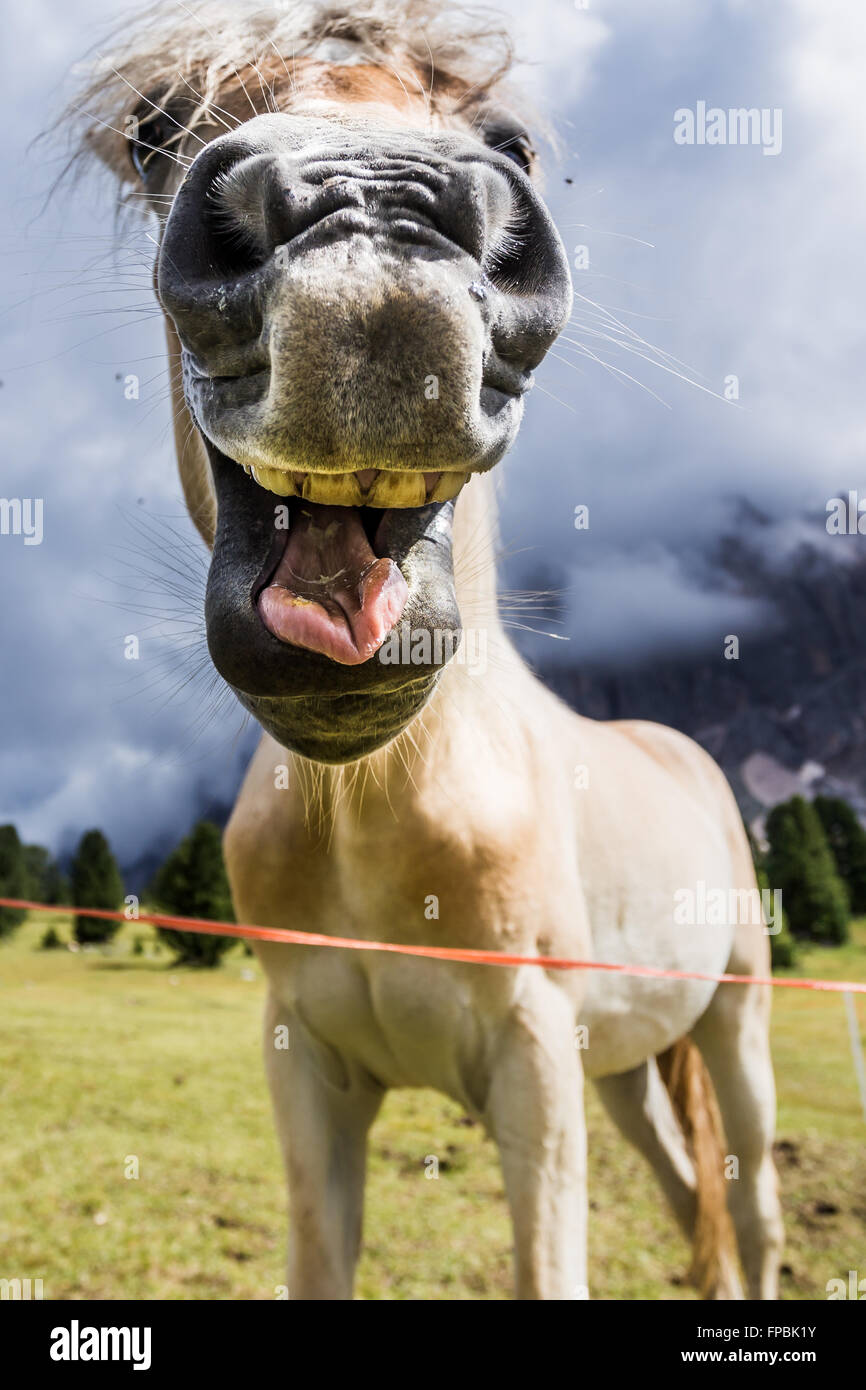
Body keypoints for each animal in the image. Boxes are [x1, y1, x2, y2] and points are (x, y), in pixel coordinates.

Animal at [67, 2, 783, 1301]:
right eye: (153, 133)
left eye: (510, 140)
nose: (366, 234)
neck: (381, 808)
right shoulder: (306, 1068)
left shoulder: (534, 1065)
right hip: (627, 1067)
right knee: (688, 1195)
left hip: (732, 1024)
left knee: (748, 1206)